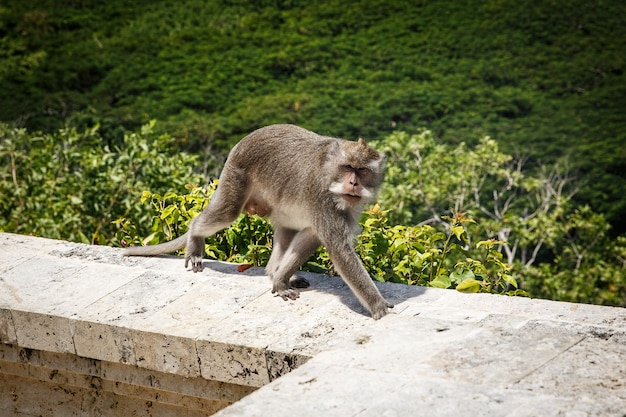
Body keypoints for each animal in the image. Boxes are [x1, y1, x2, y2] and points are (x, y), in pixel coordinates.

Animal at [124, 123, 392, 318]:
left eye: (363, 171)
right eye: (347, 167)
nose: (353, 183)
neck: (330, 173)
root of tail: (244, 140)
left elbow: (311, 236)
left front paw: (281, 282)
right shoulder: (322, 197)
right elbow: (338, 248)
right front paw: (378, 307)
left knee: (288, 229)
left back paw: (276, 273)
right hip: (236, 176)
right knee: (226, 213)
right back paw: (195, 240)